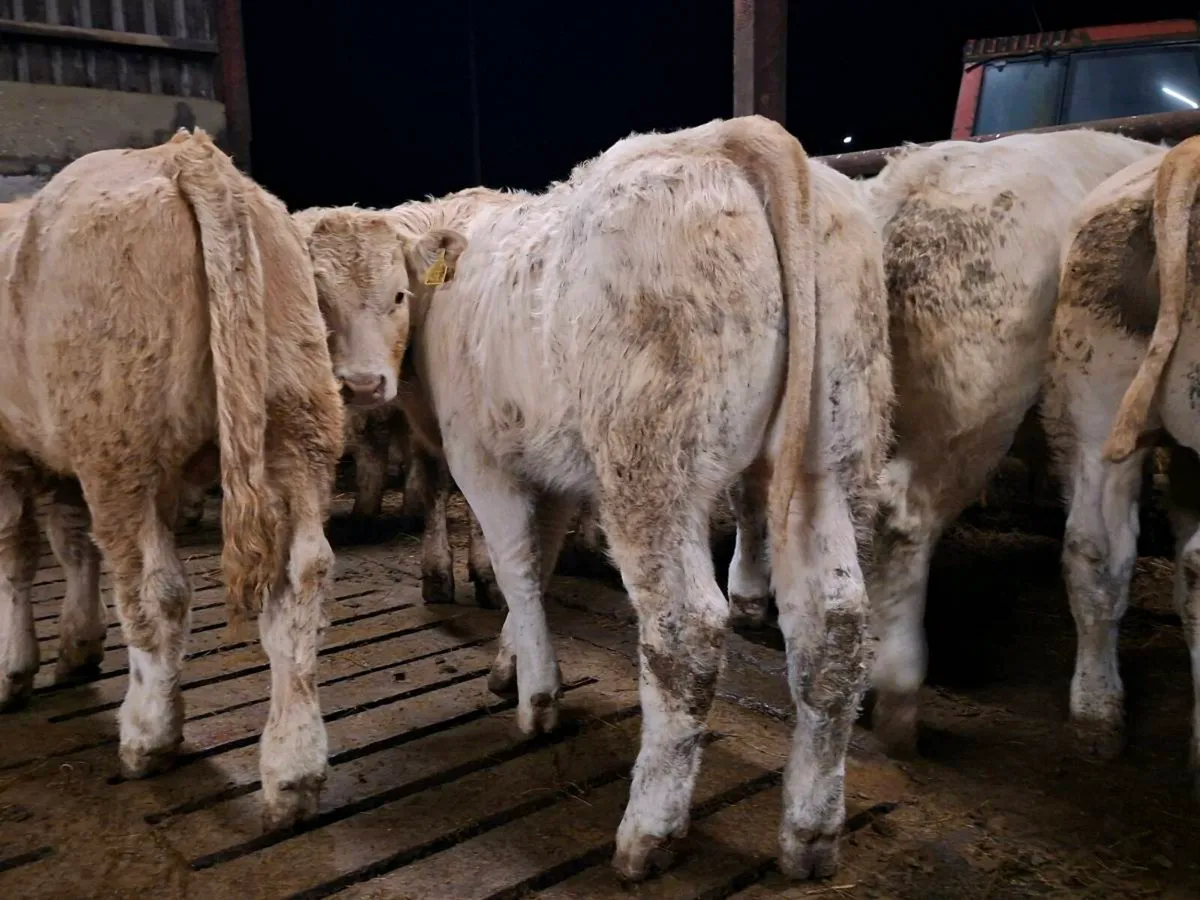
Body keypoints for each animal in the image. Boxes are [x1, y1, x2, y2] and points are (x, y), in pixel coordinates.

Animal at [0, 129, 354, 830]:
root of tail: (184, 155)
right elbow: (70, 546)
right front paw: (75, 644)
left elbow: (17, 559)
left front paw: (12, 666)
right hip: (296, 419)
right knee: (301, 579)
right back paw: (293, 768)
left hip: (118, 444)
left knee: (155, 590)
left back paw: (148, 734)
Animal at [302, 115, 892, 882]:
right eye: (319, 299)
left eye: (396, 296)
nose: (363, 383)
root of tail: (736, 136)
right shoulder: (550, 467)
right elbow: (543, 557)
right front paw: (511, 661)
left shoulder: (482, 458)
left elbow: (518, 568)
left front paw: (537, 697)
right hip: (826, 461)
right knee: (836, 629)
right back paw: (810, 832)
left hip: (652, 471)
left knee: (685, 631)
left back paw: (649, 830)